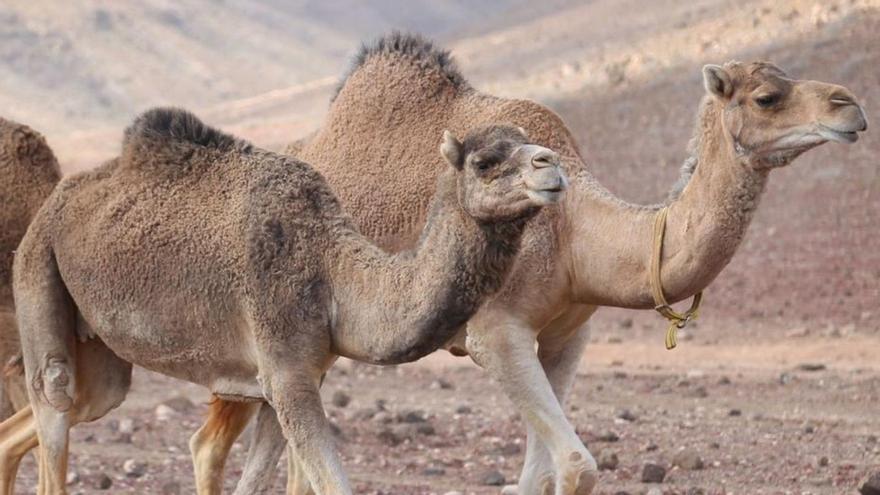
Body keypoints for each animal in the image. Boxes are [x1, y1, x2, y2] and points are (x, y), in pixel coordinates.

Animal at [8, 105, 564, 495]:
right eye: (485, 161)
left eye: (527, 143)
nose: (550, 164)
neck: (332, 274)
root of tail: (58, 199)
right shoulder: (284, 367)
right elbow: (331, 481)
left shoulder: (295, 374)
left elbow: (256, 478)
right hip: (37, 268)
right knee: (53, 399)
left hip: (100, 355)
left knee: (74, 405)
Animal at [180, 33, 868, 494]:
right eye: (767, 96)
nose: (851, 107)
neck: (576, 234)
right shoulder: (496, 332)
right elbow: (577, 464)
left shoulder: (568, 337)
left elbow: (544, 472)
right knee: (211, 445)